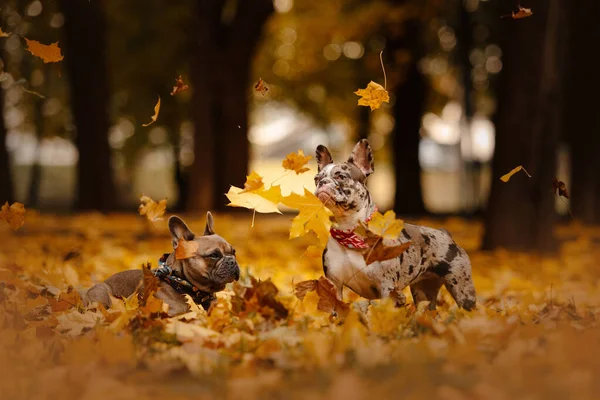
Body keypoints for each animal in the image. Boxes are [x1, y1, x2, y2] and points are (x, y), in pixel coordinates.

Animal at [316, 139, 476, 310]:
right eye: (316, 178)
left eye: (341, 176)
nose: (322, 182)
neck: (350, 230)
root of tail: (445, 233)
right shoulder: (334, 284)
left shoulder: (386, 288)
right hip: (423, 291)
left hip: (462, 289)